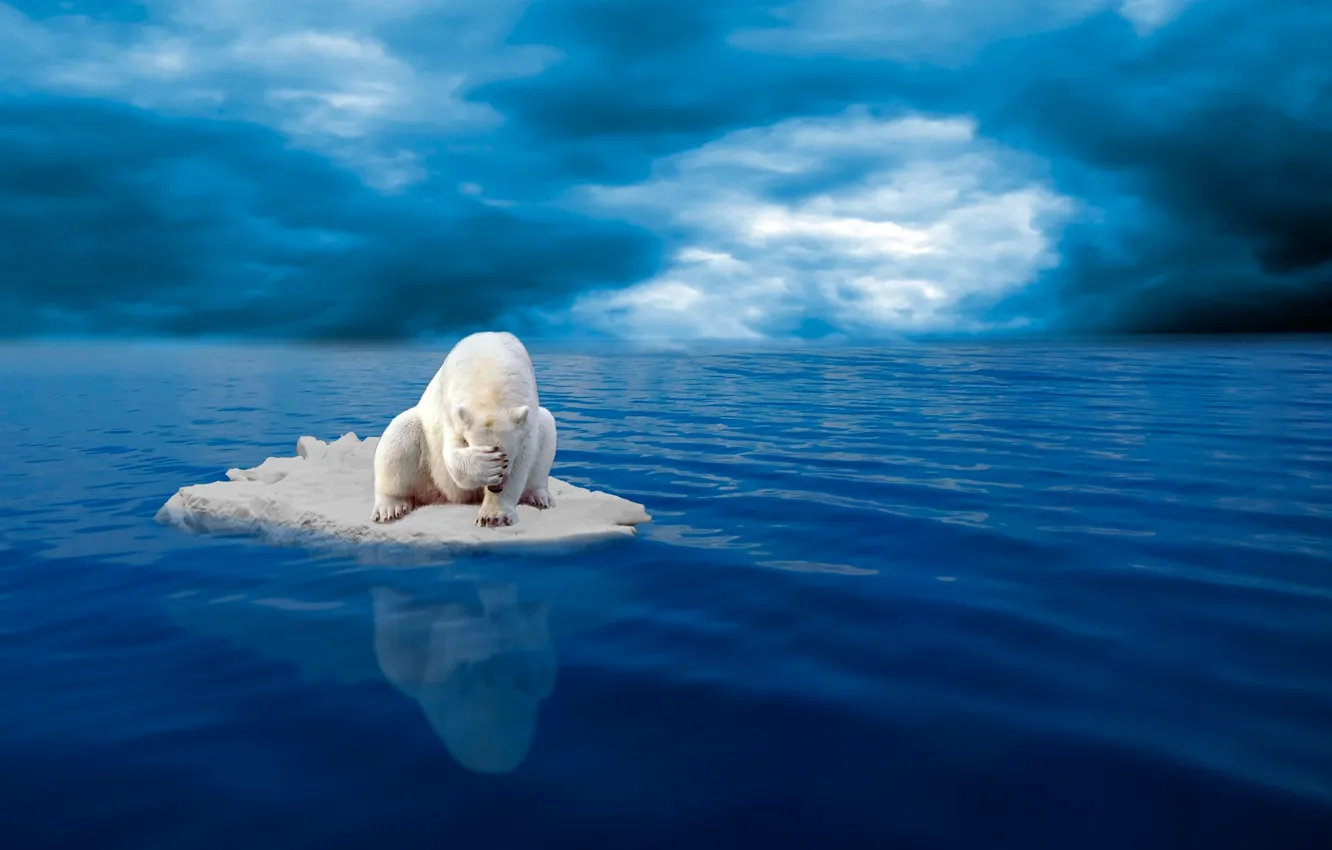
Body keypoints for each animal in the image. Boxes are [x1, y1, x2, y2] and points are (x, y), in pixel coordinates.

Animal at [371, 331, 557, 527]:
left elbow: (522, 461)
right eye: (492, 453)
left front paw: (494, 515)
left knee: (547, 428)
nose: (495, 487)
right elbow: (451, 453)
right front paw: (484, 464)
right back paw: (390, 507)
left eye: (506, 458)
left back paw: (540, 496)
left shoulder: (527, 418)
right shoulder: (451, 409)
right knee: (398, 437)